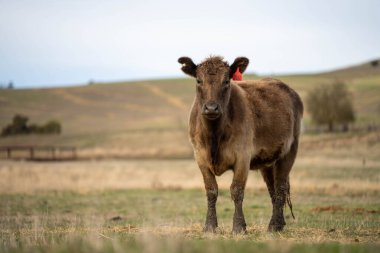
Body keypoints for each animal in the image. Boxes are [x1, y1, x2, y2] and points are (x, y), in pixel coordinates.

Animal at [177, 55, 302, 233]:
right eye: (199, 80)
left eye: (226, 81)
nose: (211, 108)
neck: (214, 134)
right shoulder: (200, 157)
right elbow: (211, 190)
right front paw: (210, 226)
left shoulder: (242, 157)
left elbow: (236, 190)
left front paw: (238, 227)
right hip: (268, 161)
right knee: (273, 189)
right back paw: (278, 223)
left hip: (289, 151)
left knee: (281, 187)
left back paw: (275, 225)